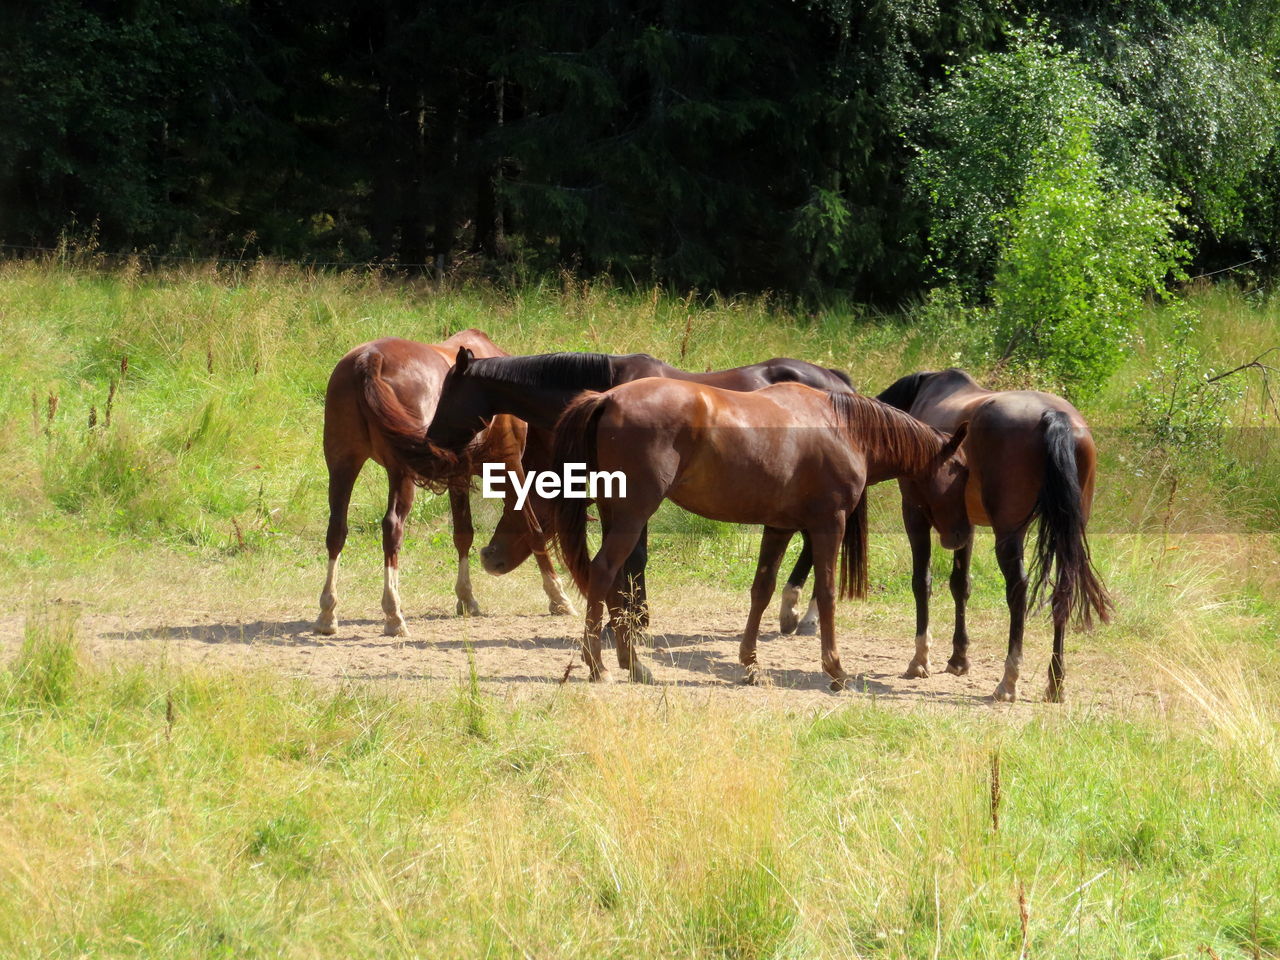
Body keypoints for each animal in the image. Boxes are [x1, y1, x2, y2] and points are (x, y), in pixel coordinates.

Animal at [312, 330, 573, 640]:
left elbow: (463, 533)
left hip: (342, 464)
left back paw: (328, 611)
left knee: (336, 530)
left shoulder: (459, 476)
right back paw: (393, 613)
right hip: (400, 472)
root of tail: (370, 357)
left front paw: (466, 597)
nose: (491, 560)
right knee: (392, 528)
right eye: (551, 521)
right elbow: (531, 528)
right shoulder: (509, 464)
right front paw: (557, 595)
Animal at [550, 378, 967, 686]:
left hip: (618, 516)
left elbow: (762, 589)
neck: (843, 429)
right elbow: (826, 593)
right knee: (603, 572)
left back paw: (633, 665)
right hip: (633, 516)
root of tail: (608, 398)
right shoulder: (828, 525)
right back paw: (598, 665)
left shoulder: (779, 528)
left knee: (618, 582)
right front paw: (835, 668)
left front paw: (750, 663)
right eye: (961, 472)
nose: (962, 536)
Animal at [875, 371, 1116, 701]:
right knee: (1062, 592)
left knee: (1017, 590)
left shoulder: (915, 514)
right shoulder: (964, 526)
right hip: (1064, 533)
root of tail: (1054, 417)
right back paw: (1055, 682)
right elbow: (960, 585)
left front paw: (920, 659)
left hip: (1009, 534)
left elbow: (922, 582)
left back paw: (1008, 680)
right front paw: (959, 659)